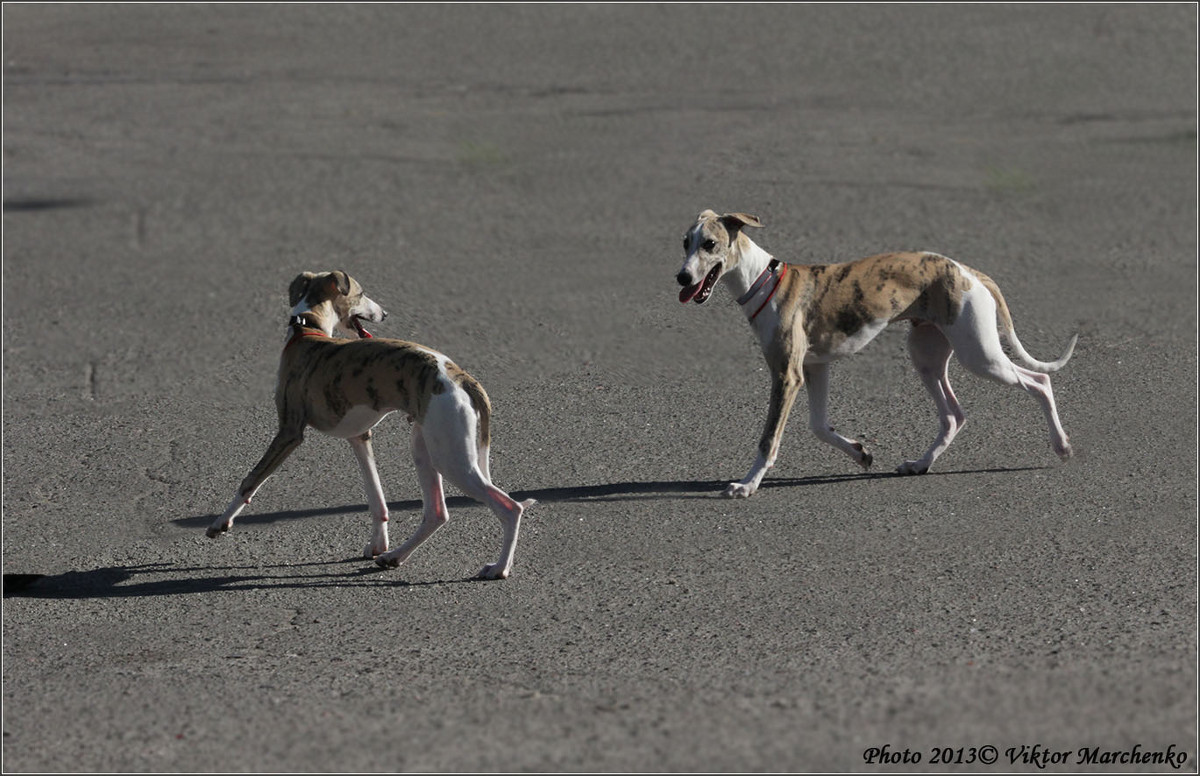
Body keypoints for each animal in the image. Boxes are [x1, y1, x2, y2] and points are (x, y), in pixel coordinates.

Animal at [207, 269, 535, 580]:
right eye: (362, 293)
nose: (385, 314)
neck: (307, 330)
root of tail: (462, 376)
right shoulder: (360, 437)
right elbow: (376, 499)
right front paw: (378, 543)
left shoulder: (289, 432)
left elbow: (251, 479)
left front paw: (221, 522)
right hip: (425, 447)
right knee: (437, 512)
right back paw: (394, 556)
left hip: (450, 458)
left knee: (510, 507)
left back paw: (499, 568)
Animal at [676, 209, 1080, 498]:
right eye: (684, 242)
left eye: (709, 244)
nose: (681, 278)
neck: (765, 281)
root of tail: (968, 271)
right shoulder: (814, 368)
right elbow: (819, 426)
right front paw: (860, 453)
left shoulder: (787, 375)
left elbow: (769, 438)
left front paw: (747, 484)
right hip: (927, 356)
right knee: (954, 415)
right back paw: (920, 464)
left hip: (981, 356)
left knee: (1039, 380)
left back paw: (1061, 446)